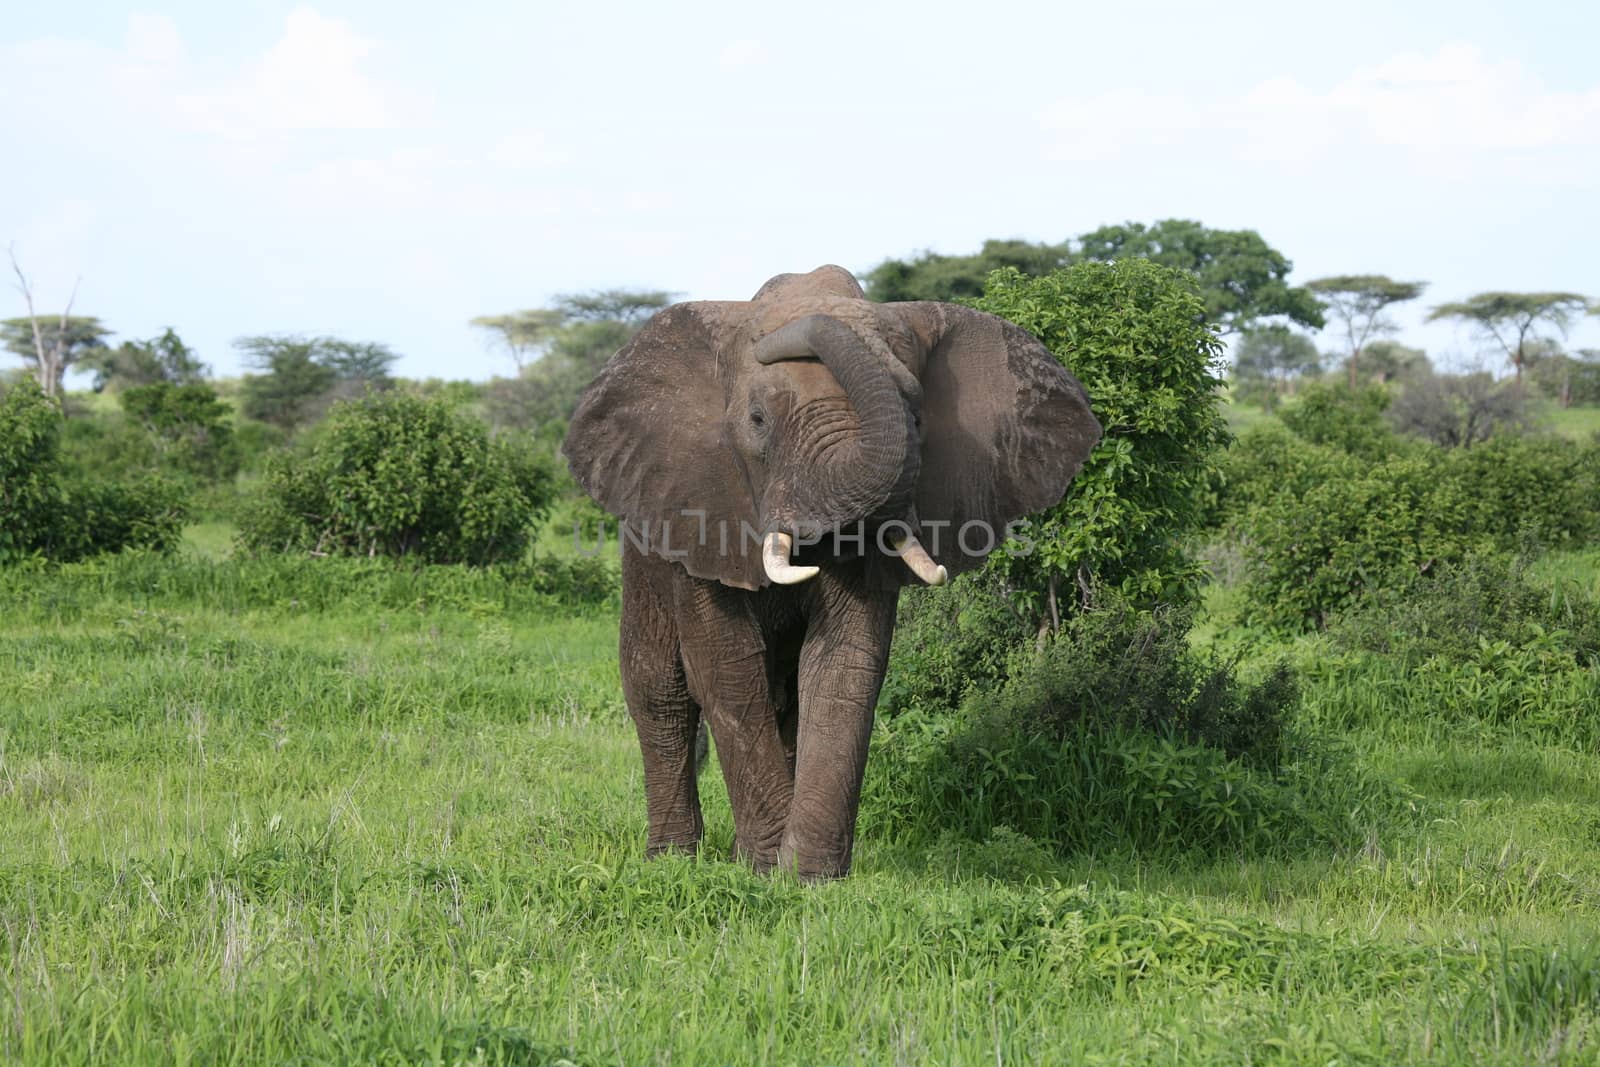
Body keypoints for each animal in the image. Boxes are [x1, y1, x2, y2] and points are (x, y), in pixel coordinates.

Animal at [563, 265, 1100, 876]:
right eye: (757, 420)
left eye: (918, 418)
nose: (779, 336)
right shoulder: (697, 507)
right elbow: (724, 666)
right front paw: (765, 868)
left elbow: (842, 660)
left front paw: (803, 877)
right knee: (659, 690)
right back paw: (672, 861)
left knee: (785, 696)